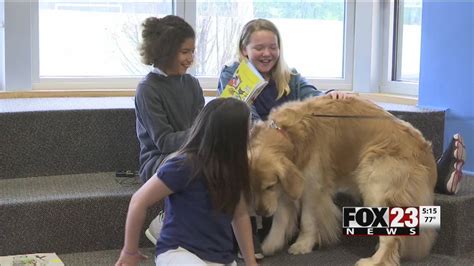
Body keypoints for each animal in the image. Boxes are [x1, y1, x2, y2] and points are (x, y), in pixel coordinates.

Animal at [250, 96, 438, 266]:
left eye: (269, 186)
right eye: (253, 188)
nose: (260, 212)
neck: (288, 134)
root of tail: (426, 152)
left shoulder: (311, 186)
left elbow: (307, 220)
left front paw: (303, 244)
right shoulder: (286, 185)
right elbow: (280, 218)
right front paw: (269, 245)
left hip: (375, 184)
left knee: (392, 236)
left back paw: (375, 261)